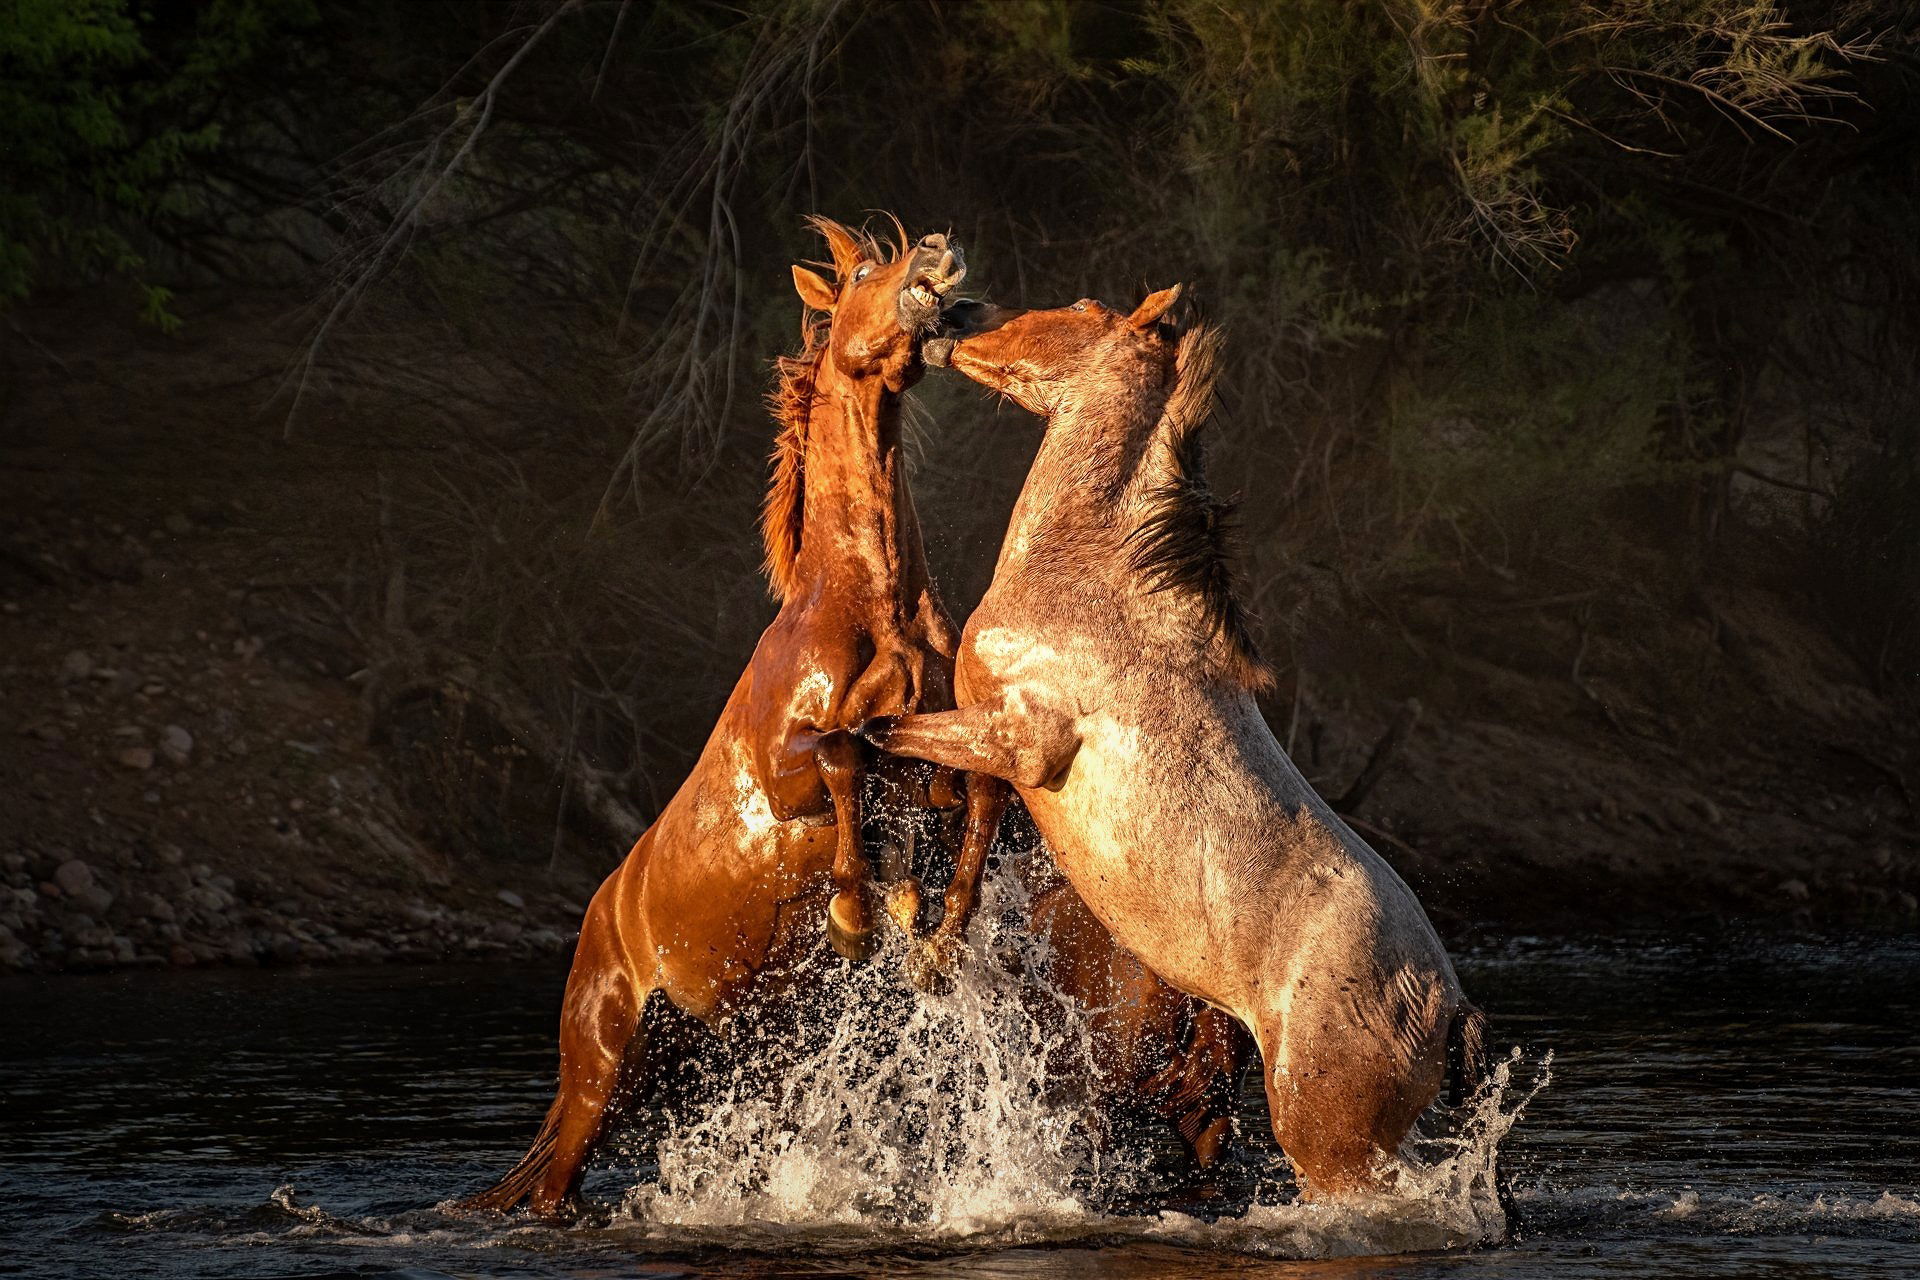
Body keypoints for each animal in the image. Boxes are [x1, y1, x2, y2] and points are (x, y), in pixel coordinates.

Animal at [456, 220, 998, 1220]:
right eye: (860, 274)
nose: (938, 259)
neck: (870, 606)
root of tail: (598, 920)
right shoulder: (788, 773)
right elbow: (842, 756)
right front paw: (858, 918)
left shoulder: (936, 760)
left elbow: (976, 796)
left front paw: (939, 936)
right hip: (601, 1075)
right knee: (551, 1187)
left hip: (698, 1061)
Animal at [867, 293, 1482, 1205]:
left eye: (1080, 306)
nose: (956, 313)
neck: (1089, 579)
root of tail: (1446, 1003)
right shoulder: (1001, 760)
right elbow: (967, 853)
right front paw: (933, 952)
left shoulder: (1020, 737)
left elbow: (882, 735)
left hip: (1328, 1146)